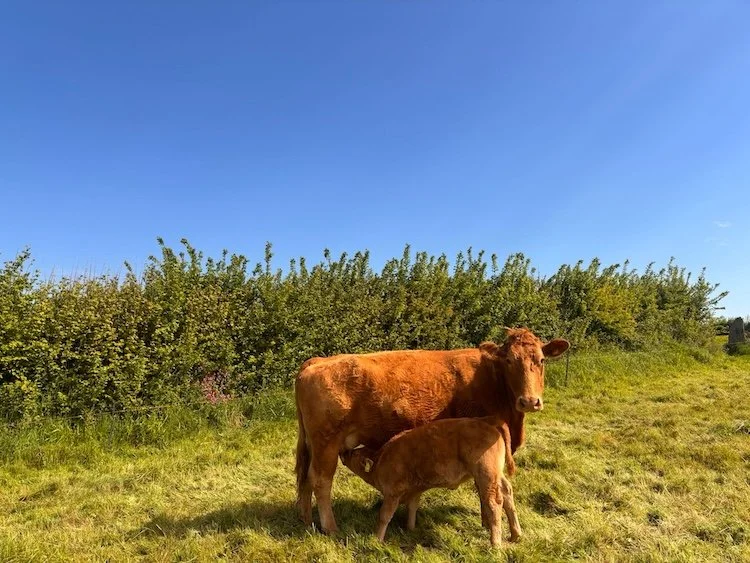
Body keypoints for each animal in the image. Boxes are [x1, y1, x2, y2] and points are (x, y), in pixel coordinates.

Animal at [294, 327, 569, 533]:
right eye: (510, 361)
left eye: (541, 360)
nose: (530, 401)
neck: (492, 378)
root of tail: (318, 361)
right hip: (326, 444)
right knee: (321, 481)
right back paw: (330, 528)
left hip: (313, 444)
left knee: (306, 477)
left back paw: (307, 521)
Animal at [339, 417, 521, 547]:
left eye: (354, 454)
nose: (343, 452)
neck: (381, 459)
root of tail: (488, 421)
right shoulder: (414, 491)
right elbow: (412, 508)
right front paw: (410, 529)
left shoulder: (392, 494)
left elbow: (384, 516)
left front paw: (377, 539)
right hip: (496, 475)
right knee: (507, 492)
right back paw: (515, 535)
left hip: (486, 476)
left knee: (493, 503)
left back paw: (495, 544)